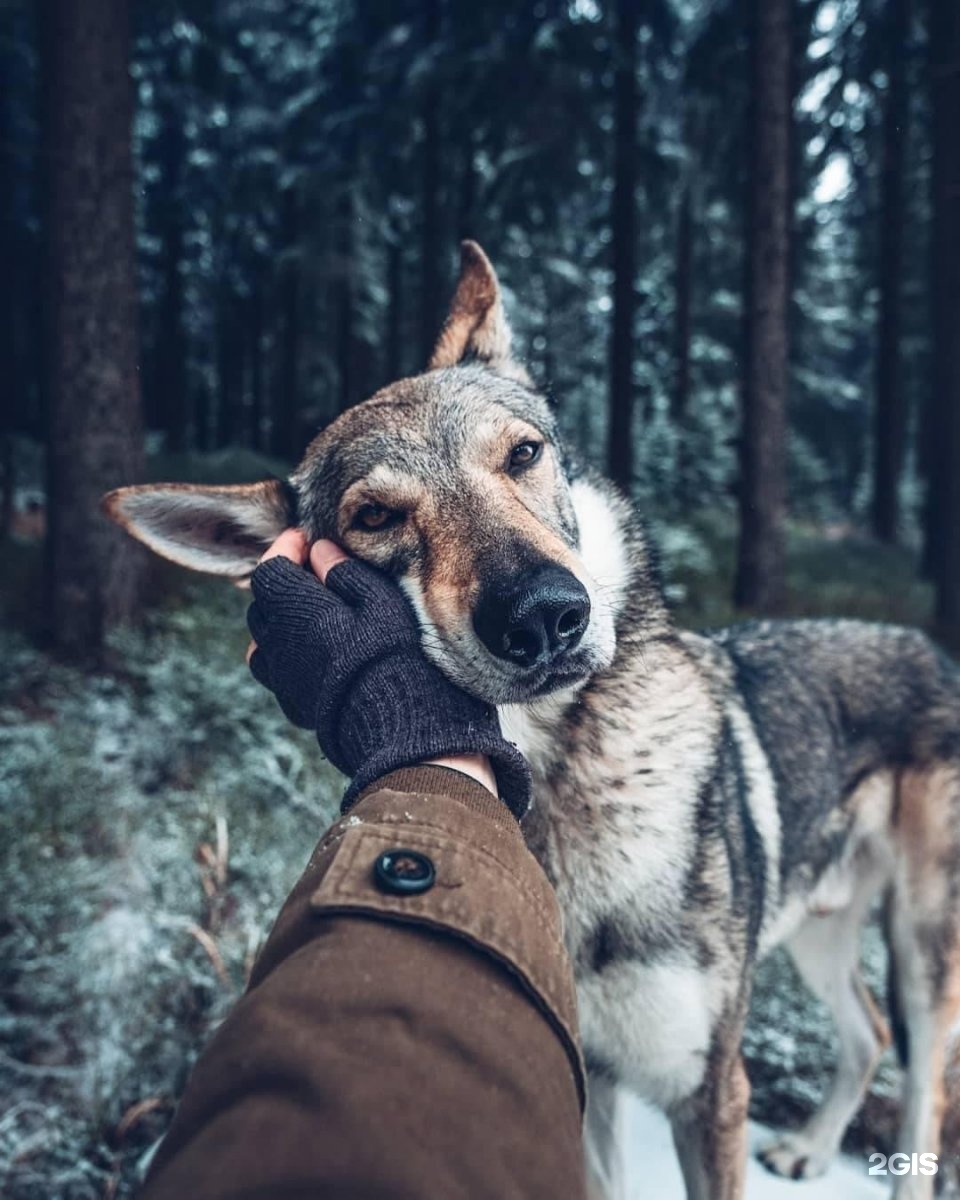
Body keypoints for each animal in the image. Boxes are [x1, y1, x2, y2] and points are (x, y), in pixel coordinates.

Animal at [105, 243, 960, 1200]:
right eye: (375, 516)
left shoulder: (707, 1088)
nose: (545, 616)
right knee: (868, 1034)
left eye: (522, 454)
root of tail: (930, 648)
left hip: (920, 954)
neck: (562, 787)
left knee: (921, 1082)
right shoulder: (578, 1088)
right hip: (822, 934)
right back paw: (810, 1149)